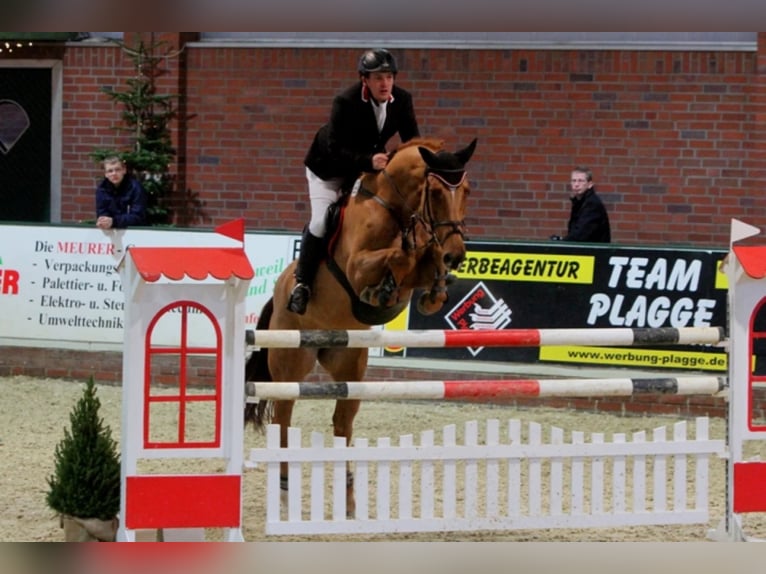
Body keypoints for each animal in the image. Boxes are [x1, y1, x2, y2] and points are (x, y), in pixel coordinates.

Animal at [244, 136, 474, 516]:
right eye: (438, 193)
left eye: (466, 191)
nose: (456, 253)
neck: (396, 210)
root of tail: (278, 292)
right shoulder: (356, 266)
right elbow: (398, 256)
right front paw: (385, 282)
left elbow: (424, 263)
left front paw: (435, 286)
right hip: (291, 363)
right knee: (283, 420)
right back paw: (285, 491)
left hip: (350, 363)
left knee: (342, 422)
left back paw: (348, 500)